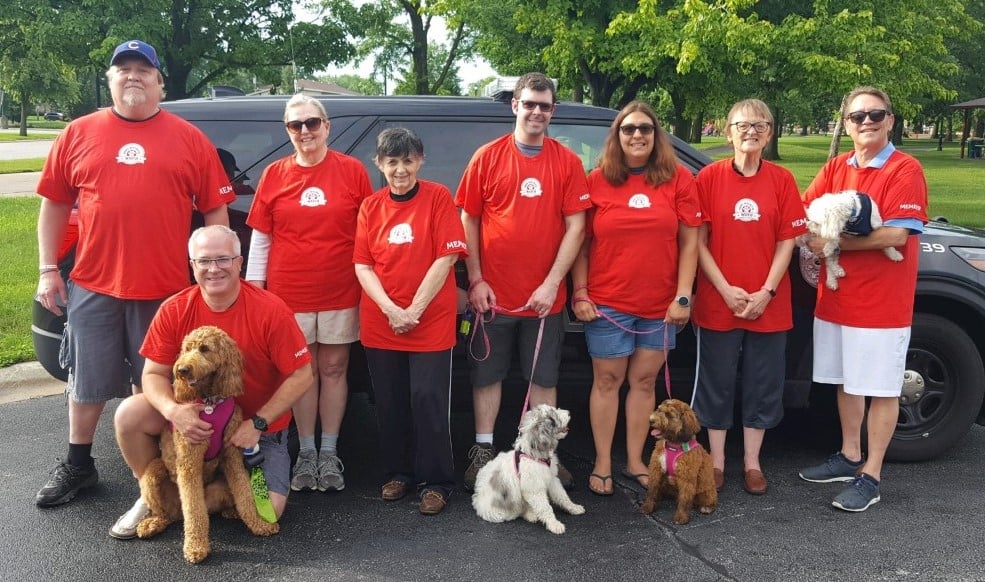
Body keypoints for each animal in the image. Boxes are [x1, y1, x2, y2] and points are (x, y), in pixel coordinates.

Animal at [136, 326, 278, 564]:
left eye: (204, 349)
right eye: (186, 349)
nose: (182, 370)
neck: (210, 402)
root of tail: (175, 511)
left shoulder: (232, 456)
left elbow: (245, 494)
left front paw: (259, 524)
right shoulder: (189, 461)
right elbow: (194, 510)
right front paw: (196, 547)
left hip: (220, 485)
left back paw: (231, 512)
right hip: (152, 476)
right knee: (168, 513)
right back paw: (152, 523)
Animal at [640, 400, 716, 528]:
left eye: (669, 415)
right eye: (659, 409)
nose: (651, 420)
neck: (673, 445)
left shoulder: (686, 477)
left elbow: (684, 499)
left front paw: (681, 517)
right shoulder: (656, 469)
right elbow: (652, 490)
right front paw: (648, 506)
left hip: (706, 489)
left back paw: (707, 507)